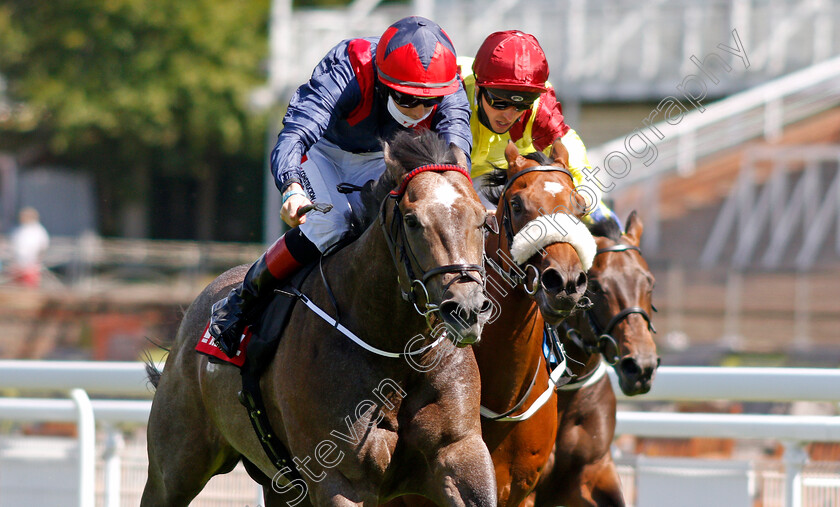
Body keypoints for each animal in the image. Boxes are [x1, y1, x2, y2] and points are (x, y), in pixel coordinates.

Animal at [142, 131, 498, 507]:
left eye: (482, 220)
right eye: (412, 221)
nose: (466, 309)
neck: (394, 347)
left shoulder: (460, 455)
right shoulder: (339, 480)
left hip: (280, 485)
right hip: (174, 468)